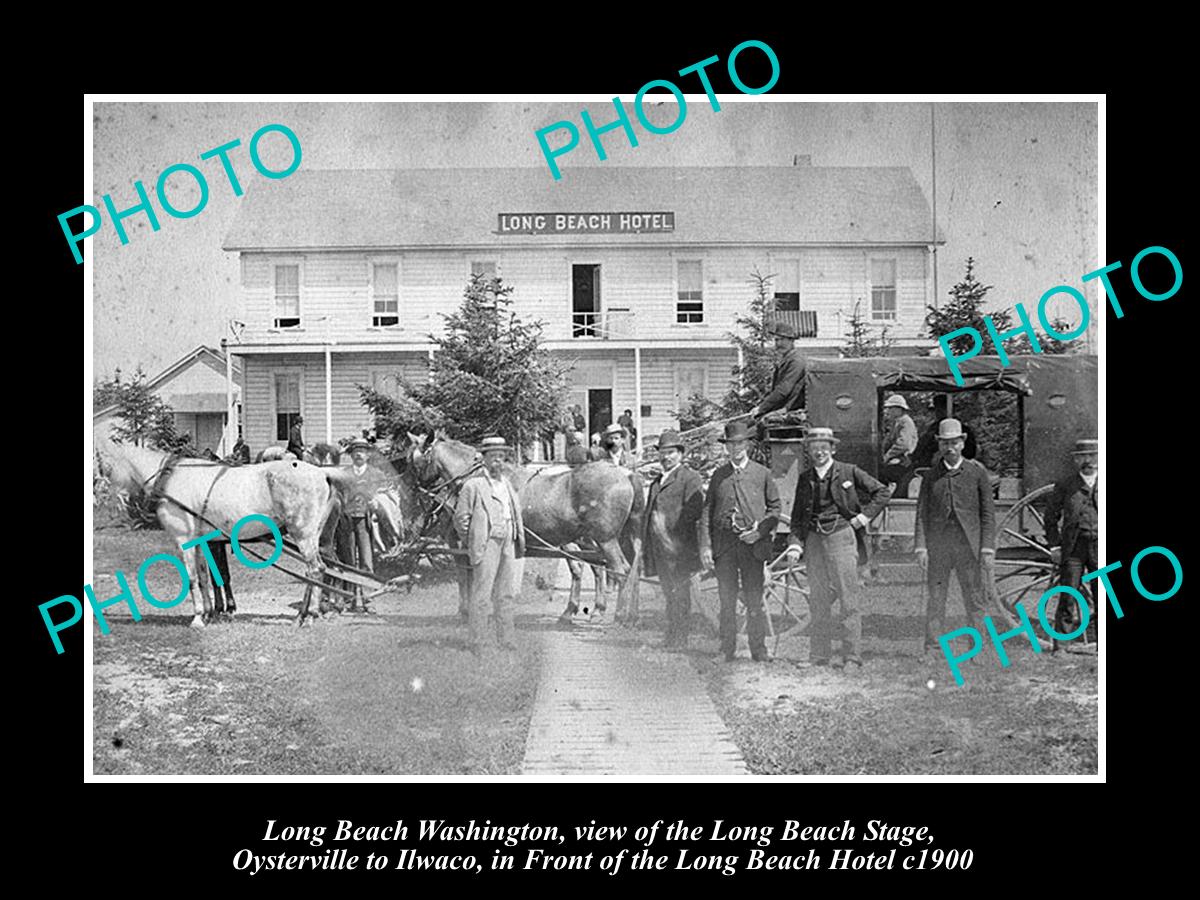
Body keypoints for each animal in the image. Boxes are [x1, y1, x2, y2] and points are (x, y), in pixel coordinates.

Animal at [405, 434, 648, 624]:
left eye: (414, 460)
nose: (414, 489)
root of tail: (626, 474)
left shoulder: (467, 543)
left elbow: (468, 576)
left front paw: (468, 611)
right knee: (623, 569)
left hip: (605, 539)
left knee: (621, 570)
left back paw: (619, 615)